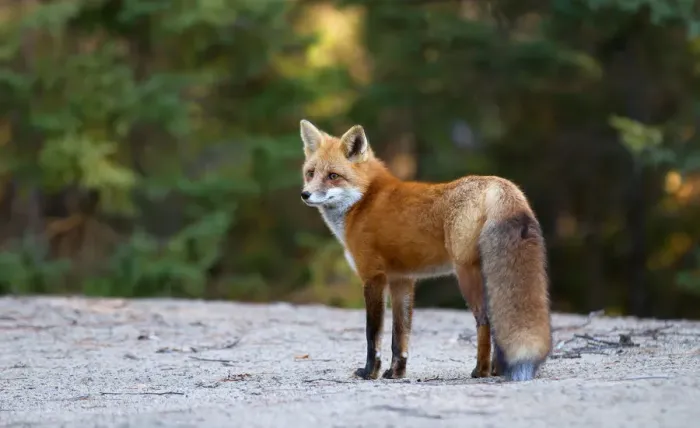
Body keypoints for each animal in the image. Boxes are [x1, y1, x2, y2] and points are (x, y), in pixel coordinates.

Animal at [298, 119, 552, 382]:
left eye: (333, 176)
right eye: (310, 173)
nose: (305, 194)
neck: (364, 201)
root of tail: (499, 184)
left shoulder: (373, 276)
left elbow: (373, 333)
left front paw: (370, 372)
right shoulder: (402, 280)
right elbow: (400, 335)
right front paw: (396, 373)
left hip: (466, 273)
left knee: (486, 319)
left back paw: (481, 370)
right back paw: (496, 368)